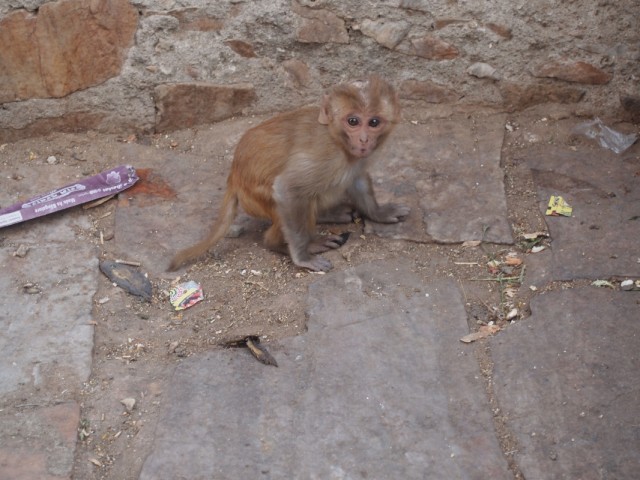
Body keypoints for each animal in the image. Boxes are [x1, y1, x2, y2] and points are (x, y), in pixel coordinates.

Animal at [168, 75, 409, 272]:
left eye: (374, 122)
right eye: (353, 121)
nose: (364, 140)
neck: (338, 140)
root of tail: (233, 179)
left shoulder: (358, 158)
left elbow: (356, 179)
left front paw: (379, 212)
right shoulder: (325, 156)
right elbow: (288, 188)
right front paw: (302, 257)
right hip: (256, 197)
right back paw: (287, 243)